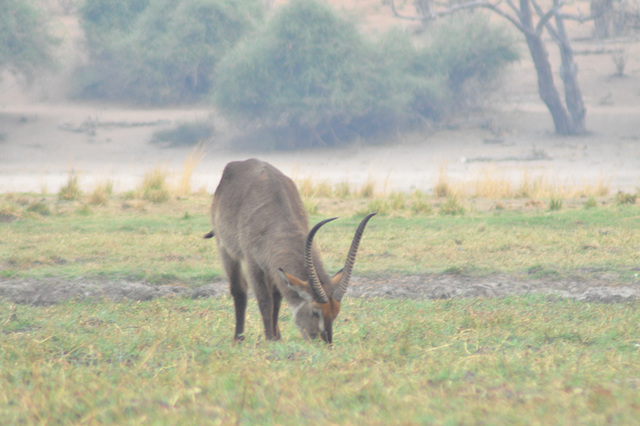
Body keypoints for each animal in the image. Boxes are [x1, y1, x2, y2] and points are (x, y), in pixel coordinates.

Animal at [205, 158, 376, 344]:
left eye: (335, 312)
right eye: (315, 311)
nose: (325, 343)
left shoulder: (273, 264)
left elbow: (277, 298)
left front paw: (276, 338)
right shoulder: (253, 263)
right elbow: (264, 300)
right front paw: (269, 339)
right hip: (225, 248)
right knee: (239, 290)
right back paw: (238, 338)